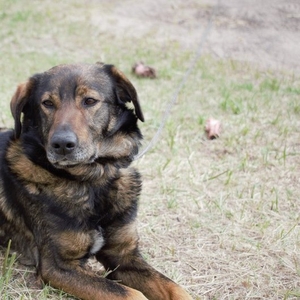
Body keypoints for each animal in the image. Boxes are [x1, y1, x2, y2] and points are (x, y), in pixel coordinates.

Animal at [0, 63, 192, 300]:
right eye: (47, 103)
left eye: (90, 101)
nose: (61, 144)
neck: (93, 178)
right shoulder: (59, 266)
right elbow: (131, 294)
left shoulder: (123, 255)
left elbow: (175, 288)